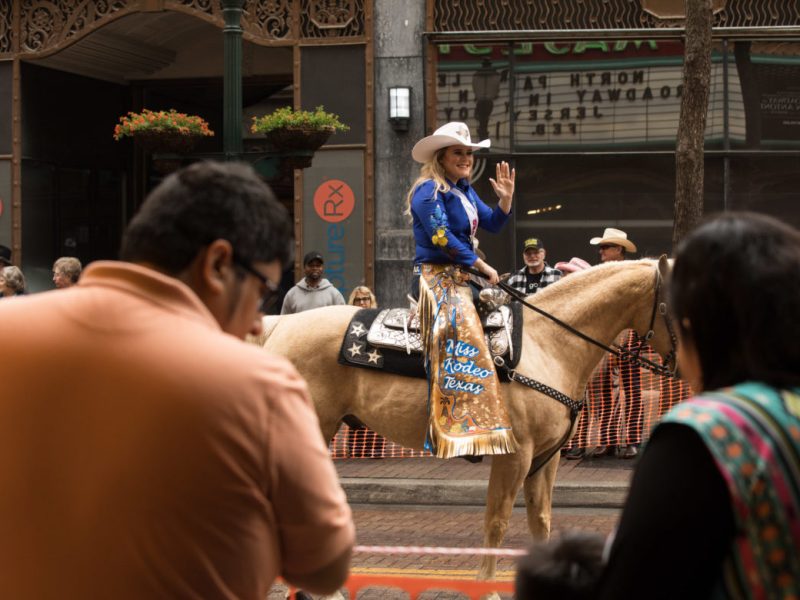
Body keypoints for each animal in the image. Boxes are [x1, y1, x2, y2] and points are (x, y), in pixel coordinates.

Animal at [255, 256, 676, 580]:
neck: (548, 344)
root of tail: (280, 325)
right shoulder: (515, 456)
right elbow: (497, 522)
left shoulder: (547, 458)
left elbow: (541, 520)